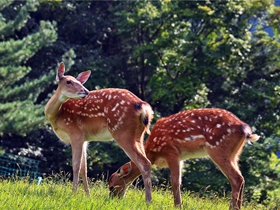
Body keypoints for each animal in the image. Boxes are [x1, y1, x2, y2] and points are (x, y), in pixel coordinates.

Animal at [44, 62, 153, 202]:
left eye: (78, 82)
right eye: (69, 81)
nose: (85, 91)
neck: (57, 115)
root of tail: (143, 106)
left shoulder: (75, 133)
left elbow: (76, 165)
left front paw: (73, 193)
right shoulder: (85, 139)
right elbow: (84, 168)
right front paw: (87, 195)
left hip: (122, 131)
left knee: (144, 163)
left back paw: (148, 201)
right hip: (139, 134)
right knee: (146, 162)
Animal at [109, 109, 260, 209]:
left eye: (111, 186)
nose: (112, 200)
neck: (153, 152)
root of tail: (245, 129)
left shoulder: (171, 152)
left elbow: (175, 181)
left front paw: (178, 206)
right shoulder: (181, 157)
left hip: (217, 149)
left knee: (236, 178)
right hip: (234, 153)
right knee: (241, 178)